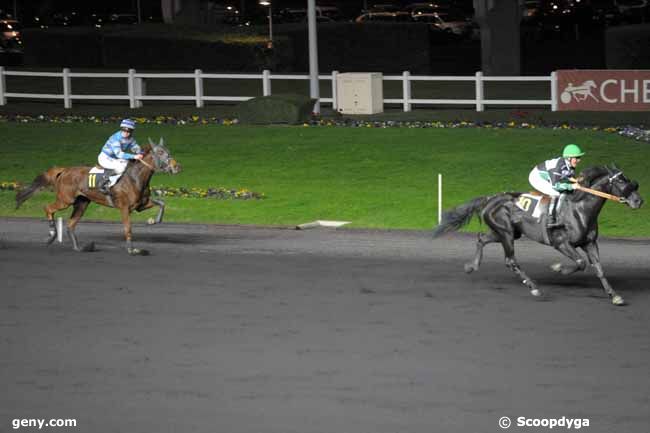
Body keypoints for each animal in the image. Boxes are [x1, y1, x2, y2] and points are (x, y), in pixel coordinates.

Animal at [17, 137, 180, 255]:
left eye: (168, 151)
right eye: (160, 152)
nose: (177, 167)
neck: (135, 178)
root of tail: (64, 171)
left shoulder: (141, 204)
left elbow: (161, 204)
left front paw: (152, 221)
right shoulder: (124, 207)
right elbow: (128, 228)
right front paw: (132, 249)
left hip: (82, 203)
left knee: (70, 225)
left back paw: (79, 248)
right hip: (65, 200)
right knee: (48, 208)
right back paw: (51, 235)